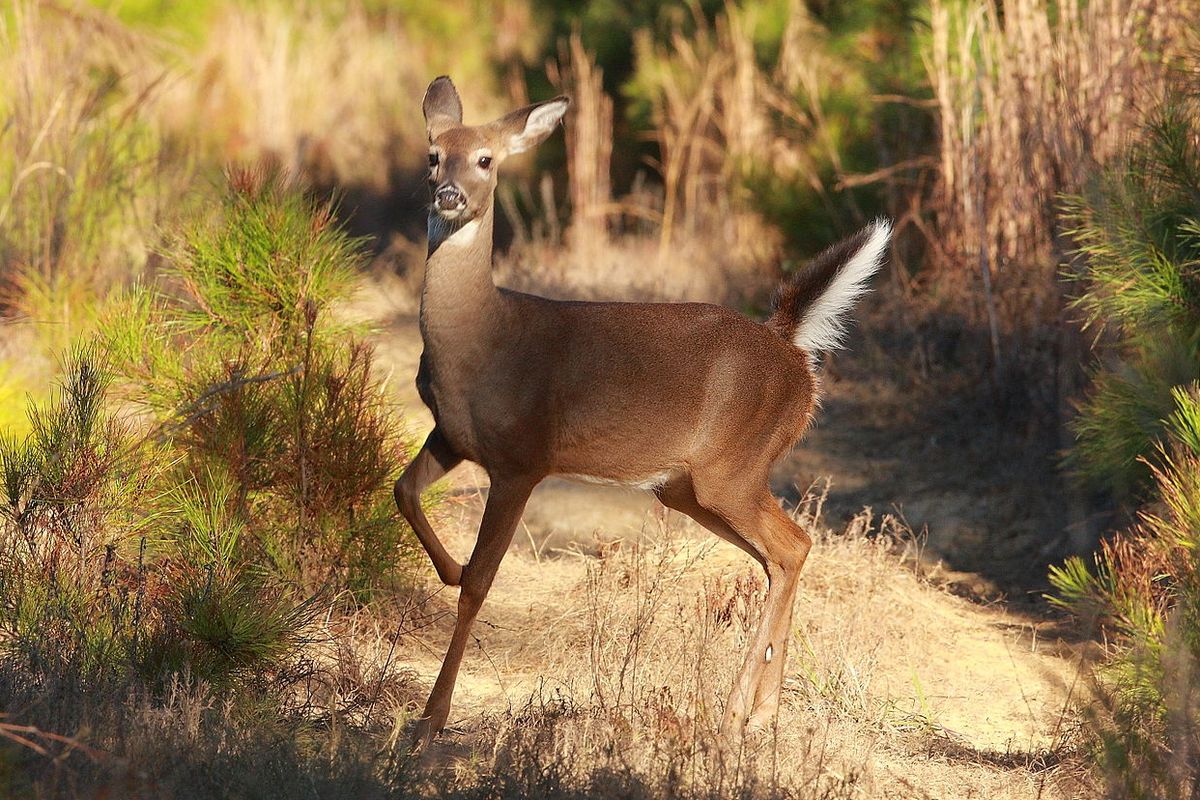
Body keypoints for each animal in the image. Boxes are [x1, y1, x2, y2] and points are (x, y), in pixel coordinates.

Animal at [393, 74, 892, 753]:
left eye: (486, 160)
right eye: (433, 155)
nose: (448, 195)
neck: (479, 343)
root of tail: (792, 348)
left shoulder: (524, 456)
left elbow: (480, 585)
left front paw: (431, 718)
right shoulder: (452, 434)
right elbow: (403, 491)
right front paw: (446, 566)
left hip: (733, 467)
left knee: (791, 544)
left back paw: (737, 715)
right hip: (687, 486)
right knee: (783, 552)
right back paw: (760, 714)